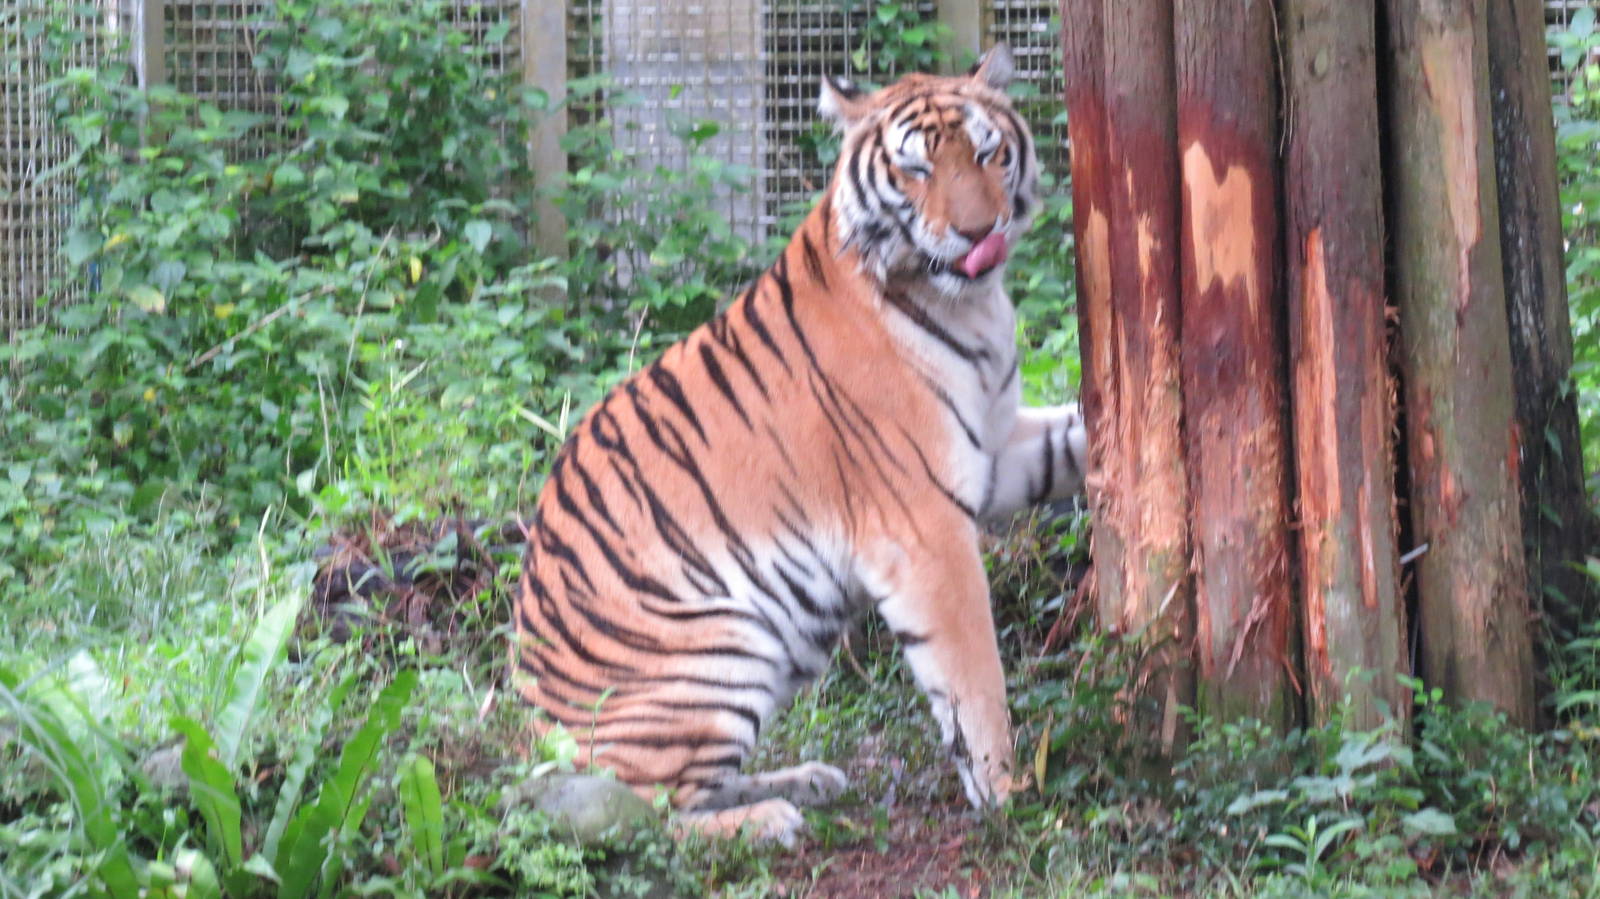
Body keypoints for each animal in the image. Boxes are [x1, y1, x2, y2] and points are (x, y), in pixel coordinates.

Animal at [512, 44, 1089, 846]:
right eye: (917, 169)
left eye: (987, 153)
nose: (980, 234)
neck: (970, 304)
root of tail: (536, 730)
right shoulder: (923, 524)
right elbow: (975, 676)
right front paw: (1010, 794)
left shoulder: (993, 450)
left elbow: (1072, 436)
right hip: (721, 648)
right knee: (634, 808)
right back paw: (769, 818)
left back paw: (806, 780)